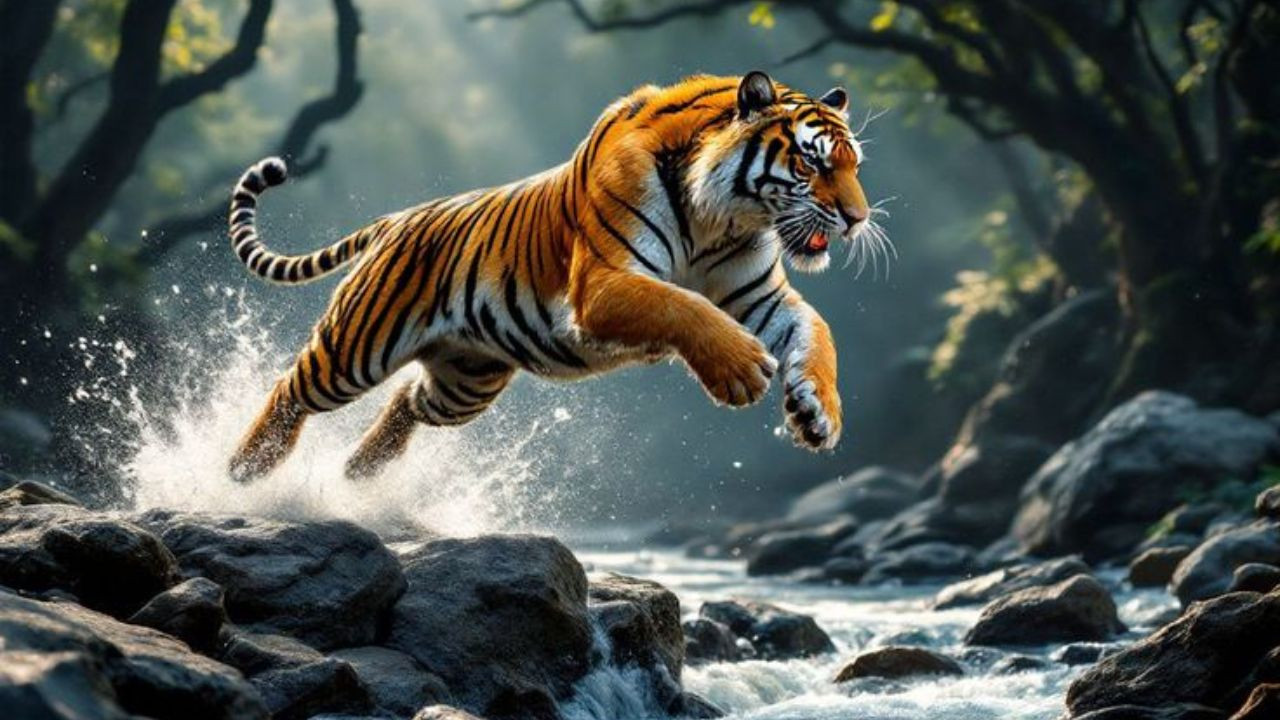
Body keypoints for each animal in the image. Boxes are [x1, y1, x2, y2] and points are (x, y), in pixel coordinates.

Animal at [226, 71, 876, 483]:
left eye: (855, 166)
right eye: (812, 162)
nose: (858, 218)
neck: (723, 216)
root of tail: (397, 218)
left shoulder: (760, 294)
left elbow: (818, 334)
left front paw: (819, 414)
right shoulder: (604, 283)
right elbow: (680, 305)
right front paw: (741, 371)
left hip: (467, 380)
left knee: (408, 400)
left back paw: (360, 471)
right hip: (359, 346)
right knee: (292, 388)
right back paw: (248, 466)